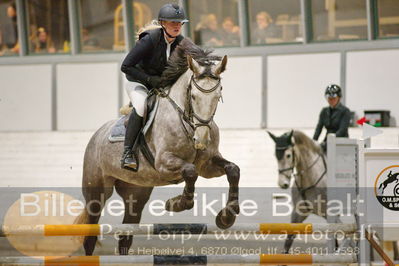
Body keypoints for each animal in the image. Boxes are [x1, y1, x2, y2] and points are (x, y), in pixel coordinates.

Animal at [76, 40, 241, 256]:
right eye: (193, 97)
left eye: (218, 94)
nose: (201, 140)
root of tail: (96, 135)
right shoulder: (163, 162)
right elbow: (190, 171)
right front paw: (177, 203)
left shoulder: (207, 165)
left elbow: (233, 170)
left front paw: (226, 216)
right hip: (96, 192)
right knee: (90, 235)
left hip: (136, 193)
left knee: (126, 234)